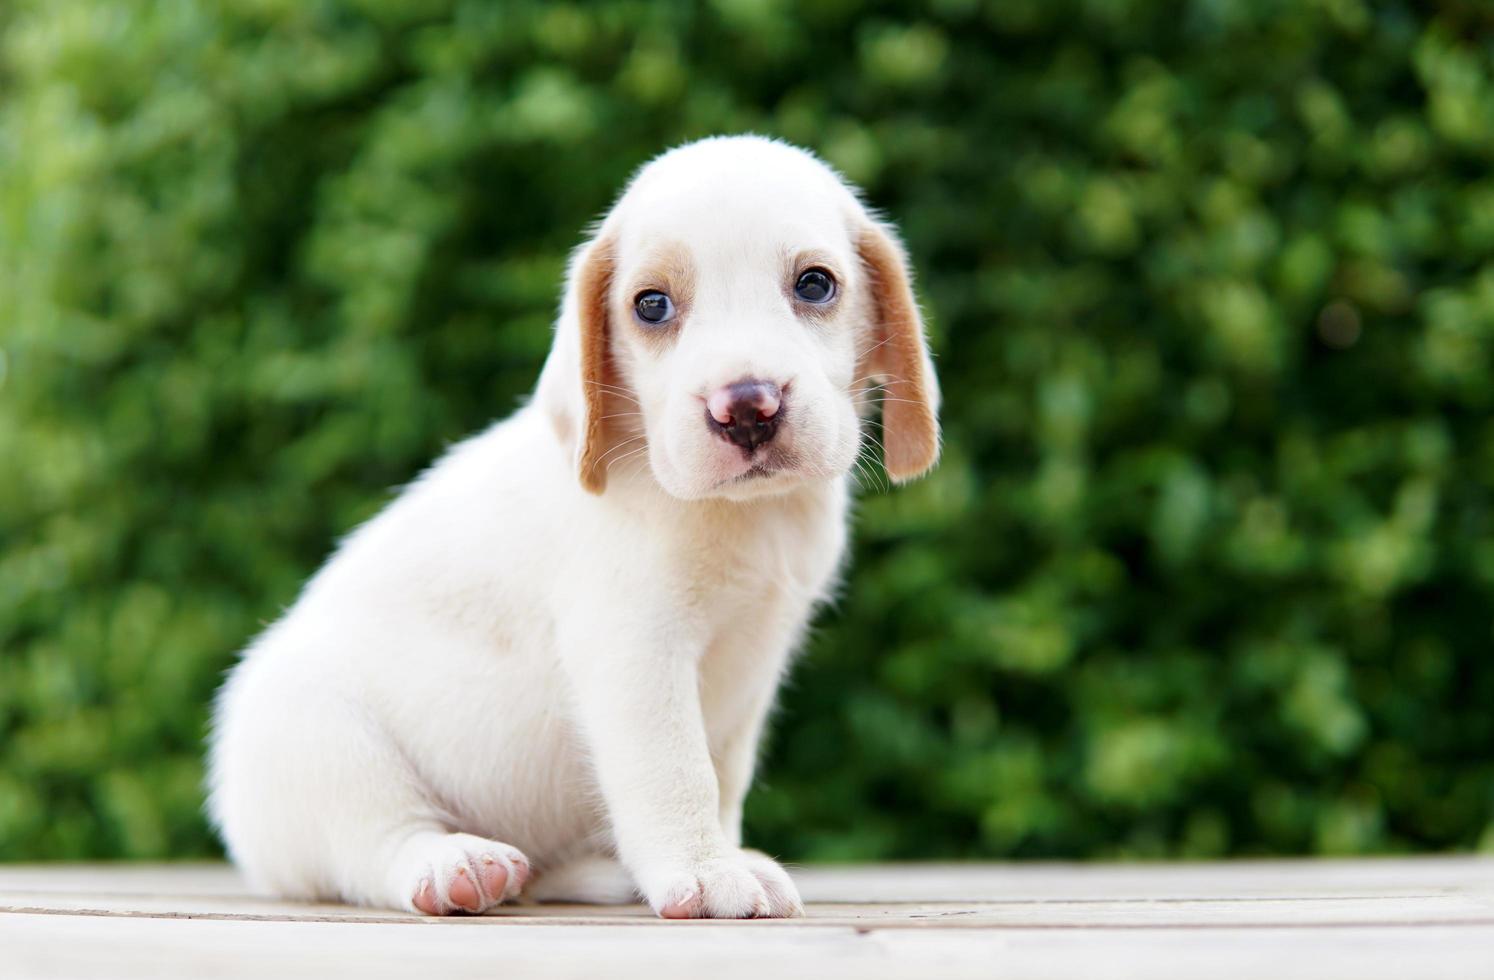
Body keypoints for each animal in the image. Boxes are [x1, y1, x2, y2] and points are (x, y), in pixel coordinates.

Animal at [206, 133, 938, 914]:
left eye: (815, 285)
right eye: (652, 305)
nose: (747, 406)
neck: (747, 516)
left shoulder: (752, 672)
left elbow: (723, 777)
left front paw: (725, 853)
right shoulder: (637, 652)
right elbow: (677, 772)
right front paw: (706, 871)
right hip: (324, 745)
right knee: (377, 845)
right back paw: (455, 864)